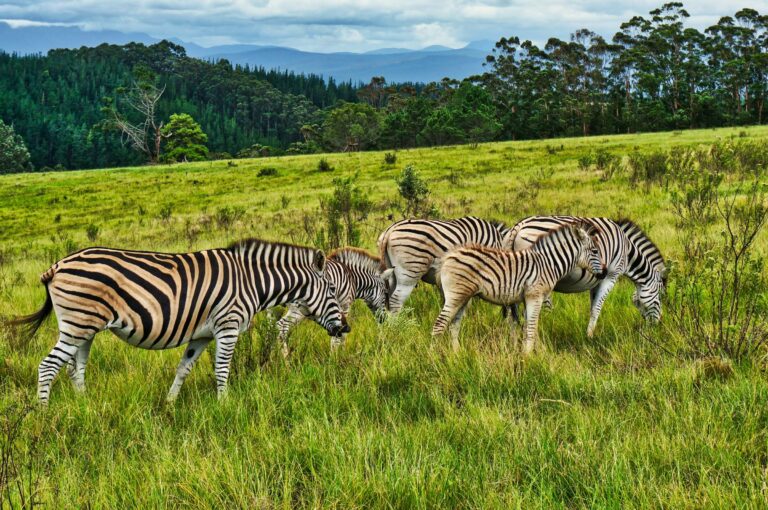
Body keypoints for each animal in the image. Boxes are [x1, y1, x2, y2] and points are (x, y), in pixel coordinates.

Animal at [8, 239, 349, 405]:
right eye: (332, 290)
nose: (346, 328)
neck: (253, 281)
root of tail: (56, 265)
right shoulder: (227, 326)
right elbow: (222, 369)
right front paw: (225, 404)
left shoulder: (201, 335)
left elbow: (184, 368)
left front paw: (170, 404)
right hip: (77, 324)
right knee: (48, 366)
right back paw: (44, 413)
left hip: (85, 329)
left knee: (74, 368)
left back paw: (85, 406)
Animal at [433, 223, 605, 353]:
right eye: (595, 251)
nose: (604, 273)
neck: (549, 263)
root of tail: (448, 256)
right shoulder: (535, 296)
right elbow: (531, 328)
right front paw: (528, 358)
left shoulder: (528, 298)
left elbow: (528, 328)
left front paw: (530, 353)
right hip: (456, 294)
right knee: (439, 324)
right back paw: (434, 358)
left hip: (464, 296)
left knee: (454, 325)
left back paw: (457, 355)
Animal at [502, 216, 666, 337]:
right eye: (660, 298)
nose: (658, 326)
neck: (627, 252)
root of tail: (520, 226)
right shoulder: (611, 276)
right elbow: (598, 307)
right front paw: (590, 336)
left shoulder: (597, 279)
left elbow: (593, 306)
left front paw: (588, 333)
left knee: (512, 313)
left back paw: (513, 338)